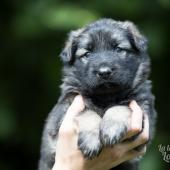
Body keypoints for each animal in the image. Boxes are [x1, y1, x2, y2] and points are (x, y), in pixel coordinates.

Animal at [38, 18, 157, 170]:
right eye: (87, 54)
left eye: (118, 49)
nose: (104, 72)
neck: (105, 97)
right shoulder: (66, 107)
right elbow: (87, 113)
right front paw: (91, 141)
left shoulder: (143, 113)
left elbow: (120, 107)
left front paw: (112, 129)